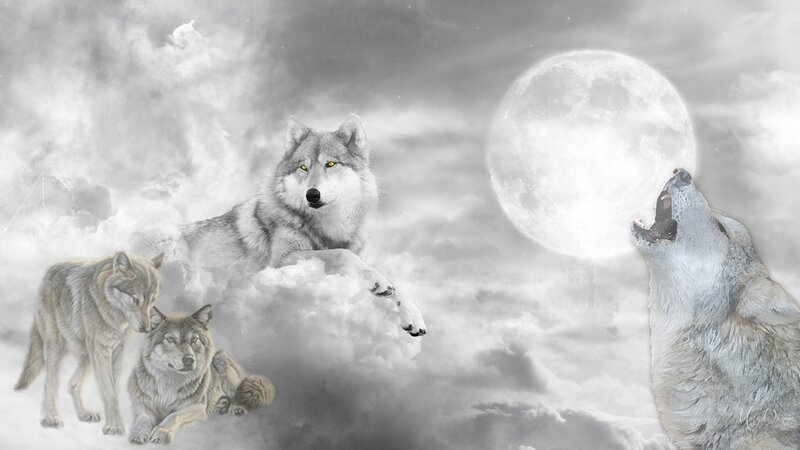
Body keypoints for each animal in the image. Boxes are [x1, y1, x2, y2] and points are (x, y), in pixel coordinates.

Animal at [14, 251, 164, 435]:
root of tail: (48, 273)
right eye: (135, 299)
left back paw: (83, 414)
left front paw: (113, 423)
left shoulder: (116, 350)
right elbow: (109, 392)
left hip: (87, 355)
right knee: (51, 384)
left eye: (152, 300)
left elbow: (113, 388)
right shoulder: (101, 350)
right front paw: (114, 426)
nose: (146, 328)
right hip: (56, 347)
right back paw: (51, 417)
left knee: (72, 384)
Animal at [127, 304, 275, 444]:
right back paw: (221, 405)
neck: (170, 383)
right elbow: (143, 419)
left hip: (220, 358)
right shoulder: (143, 406)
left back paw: (236, 408)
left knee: (239, 394)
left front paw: (161, 431)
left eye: (194, 339)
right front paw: (138, 433)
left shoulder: (196, 406)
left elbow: (173, 416)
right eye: (170, 339)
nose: (189, 360)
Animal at [176, 114, 426, 336]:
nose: (312, 194)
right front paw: (377, 281)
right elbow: (341, 254)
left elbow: (393, 284)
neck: (327, 226)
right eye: (303, 167)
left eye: (330, 164)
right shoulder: (280, 261)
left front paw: (413, 315)